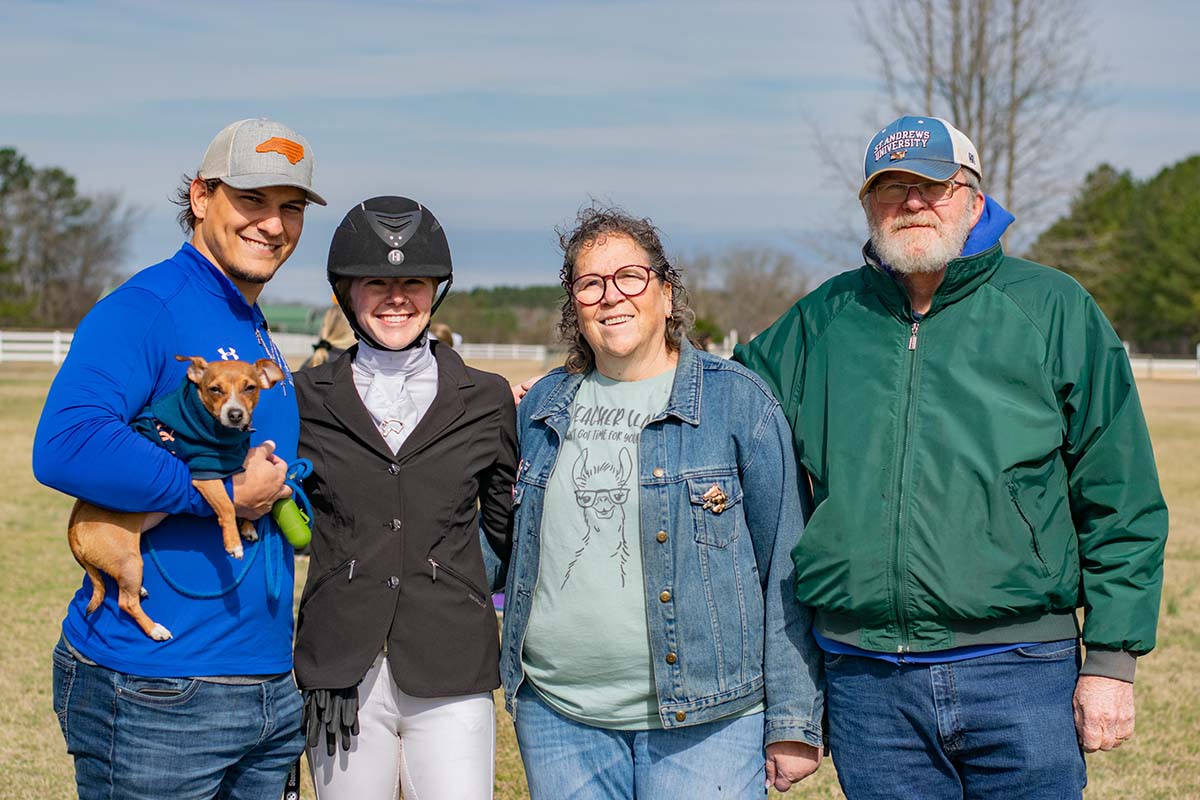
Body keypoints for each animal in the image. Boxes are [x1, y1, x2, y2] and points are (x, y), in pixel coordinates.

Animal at [69, 352, 283, 642]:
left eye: (250, 387)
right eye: (214, 389)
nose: (235, 414)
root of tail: (72, 530)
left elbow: (237, 505)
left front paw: (247, 527)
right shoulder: (205, 475)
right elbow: (227, 505)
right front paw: (233, 543)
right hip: (130, 560)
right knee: (126, 602)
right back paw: (155, 629)